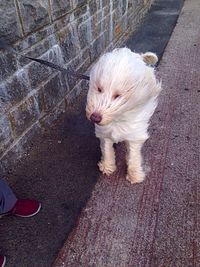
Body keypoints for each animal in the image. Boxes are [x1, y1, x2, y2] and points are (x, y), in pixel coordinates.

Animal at [85, 47, 161, 184]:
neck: (117, 118)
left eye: (118, 96)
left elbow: (133, 155)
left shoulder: (135, 135)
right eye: (99, 89)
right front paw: (107, 166)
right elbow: (107, 149)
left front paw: (135, 174)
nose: (95, 117)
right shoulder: (104, 133)